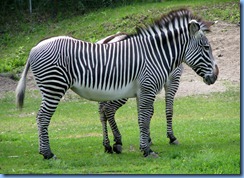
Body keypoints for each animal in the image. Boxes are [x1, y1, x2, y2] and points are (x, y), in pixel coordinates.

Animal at [16, 8, 219, 159]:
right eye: (206, 47)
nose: (216, 76)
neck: (156, 54)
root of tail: (34, 47)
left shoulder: (142, 91)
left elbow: (142, 119)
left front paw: (144, 145)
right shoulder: (150, 88)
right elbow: (148, 117)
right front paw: (149, 149)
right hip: (54, 87)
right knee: (42, 117)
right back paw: (48, 153)